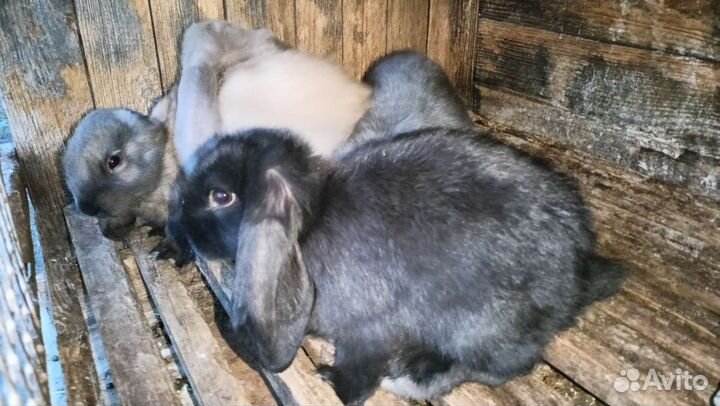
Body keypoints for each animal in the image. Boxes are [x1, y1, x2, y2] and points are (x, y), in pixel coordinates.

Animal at [176, 51, 626, 404]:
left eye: (221, 196)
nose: (183, 227)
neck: (312, 224)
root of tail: (579, 274)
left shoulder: (368, 328)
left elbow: (360, 371)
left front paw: (333, 382)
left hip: (484, 328)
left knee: (499, 365)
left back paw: (415, 373)